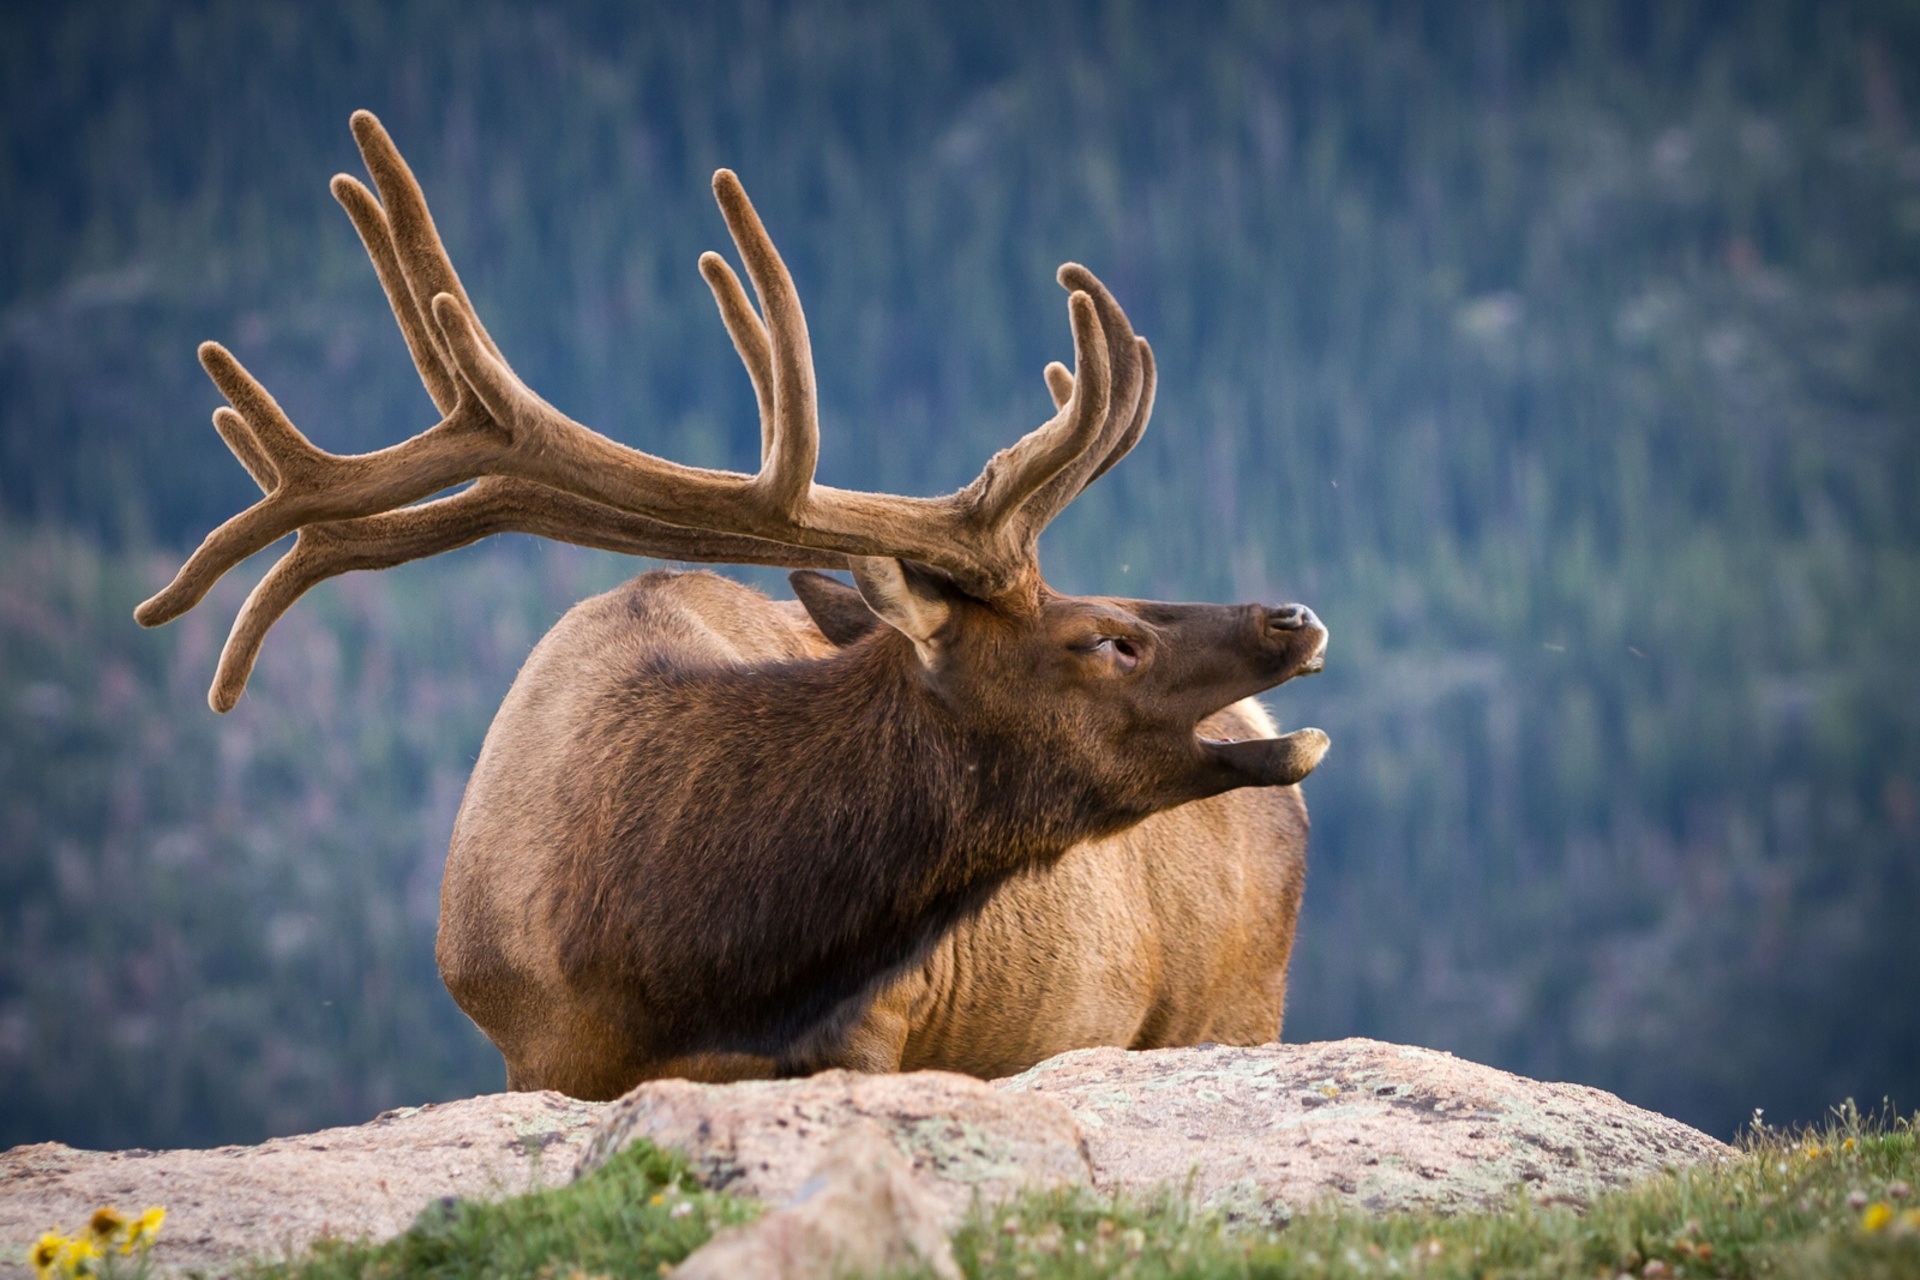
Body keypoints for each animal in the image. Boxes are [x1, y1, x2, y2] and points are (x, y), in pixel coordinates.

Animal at [139, 112, 1336, 1105]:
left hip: (1239, 1007)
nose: (1294, 617)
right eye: (1107, 638)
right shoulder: (532, 1053)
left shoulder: (877, 1026)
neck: (679, 956)